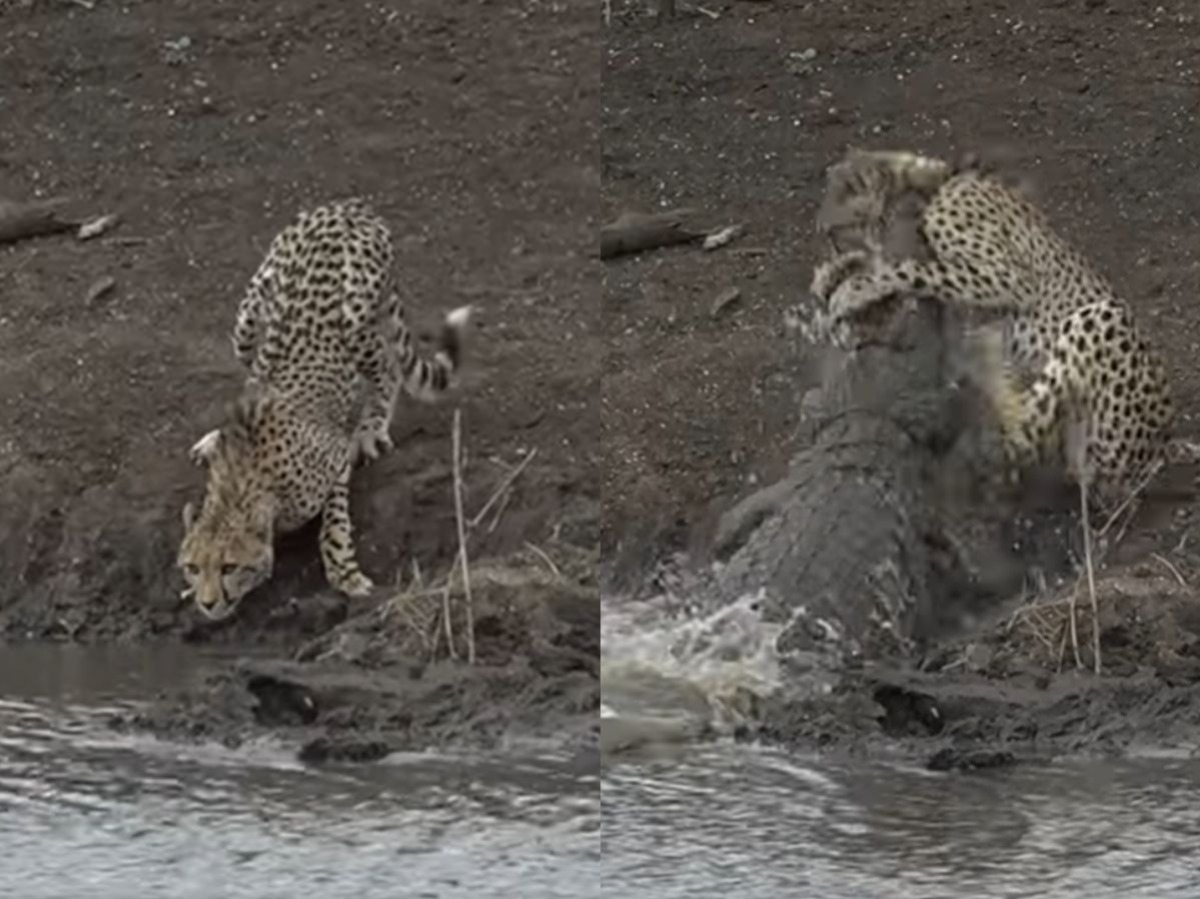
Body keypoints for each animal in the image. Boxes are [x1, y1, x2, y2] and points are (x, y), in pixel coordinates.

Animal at [177, 196, 468, 619]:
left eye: (229, 567)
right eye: (193, 567)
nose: (208, 603)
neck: (242, 483)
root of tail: (350, 205)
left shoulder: (335, 462)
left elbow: (333, 526)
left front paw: (345, 574)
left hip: (355, 317)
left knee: (387, 367)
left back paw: (371, 428)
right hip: (249, 316)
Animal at [811, 150, 1185, 508]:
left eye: (835, 231)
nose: (827, 243)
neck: (934, 182)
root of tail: (1163, 450)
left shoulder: (1006, 277)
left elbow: (909, 268)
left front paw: (851, 288)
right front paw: (832, 288)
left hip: (1104, 322)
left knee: (1024, 439)